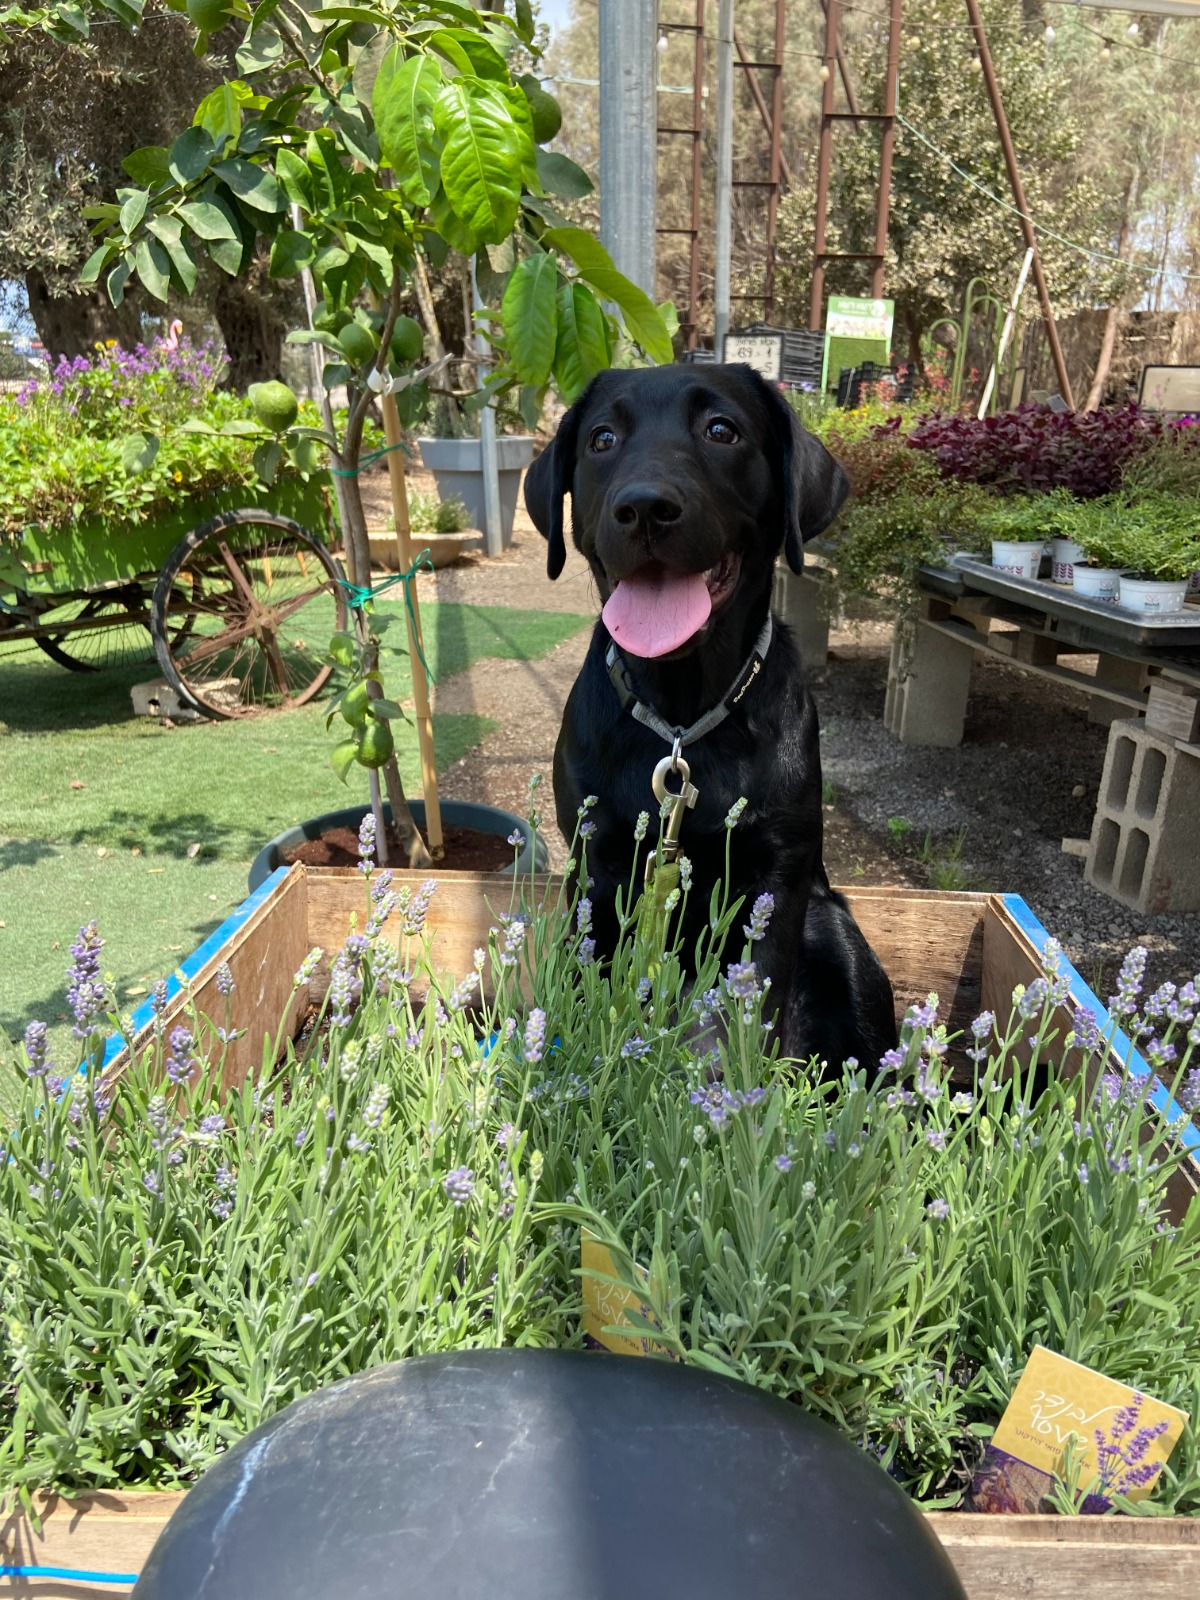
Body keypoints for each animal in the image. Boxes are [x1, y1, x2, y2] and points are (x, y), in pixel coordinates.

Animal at [521, 356, 896, 1068]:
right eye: (601, 439)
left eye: (722, 430)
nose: (643, 506)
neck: (679, 717)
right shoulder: (597, 864)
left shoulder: (777, 876)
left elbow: (743, 1016)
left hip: (836, 931)